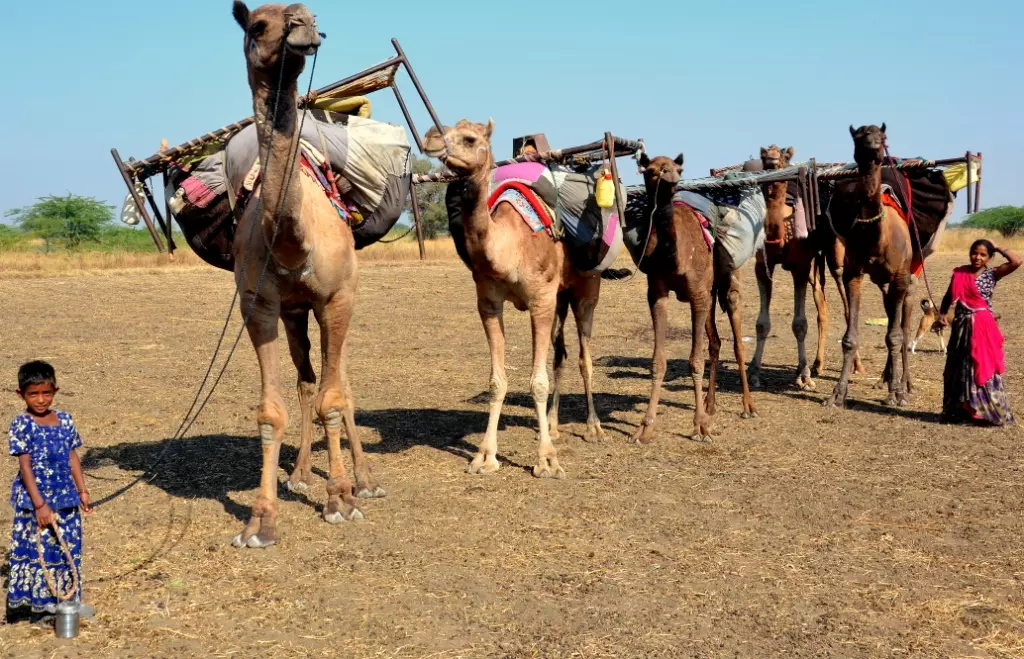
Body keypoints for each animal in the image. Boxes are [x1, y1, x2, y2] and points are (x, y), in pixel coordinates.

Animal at [228, 2, 385, 548]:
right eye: (258, 25)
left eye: (311, 14)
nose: (302, 27)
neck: (293, 240)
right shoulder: (260, 305)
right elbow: (270, 411)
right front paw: (260, 520)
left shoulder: (337, 297)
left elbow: (335, 401)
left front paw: (340, 498)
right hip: (296, 314)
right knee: (306, 380)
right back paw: (298, 473)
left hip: (337, 305)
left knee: (342, 383)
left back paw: (363, 481)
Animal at [419, 119, 610, 478]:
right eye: (445, 129)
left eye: (470, 138)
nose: (431, 139)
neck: (509, 246)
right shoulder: (489, 303)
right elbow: (497, 381)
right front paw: (484, 457)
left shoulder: (540, 300)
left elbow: (537, 382)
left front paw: (547, 461)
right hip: (560, 297)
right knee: (561, 354)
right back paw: (553, 424)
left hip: (586, 289)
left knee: (584, 357)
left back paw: (594, 428)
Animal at [622, 153, 720, 442]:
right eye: (651, 170)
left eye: (679, 169)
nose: (671, 179)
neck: (674, 258)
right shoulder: (657, 292)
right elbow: (658, 361)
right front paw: (645, 427)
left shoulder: (698, 293)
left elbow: (695, 360)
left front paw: (701, 426)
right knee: (715, 340)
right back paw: (711, 404)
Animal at [745, 145, 864, 390]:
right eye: (763, 154)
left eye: (783, 154)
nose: (771, 160)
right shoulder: (762, 267)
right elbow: (762, 324)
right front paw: (754, 372)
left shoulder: (799, 267)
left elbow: (800, 324)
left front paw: (804, 375)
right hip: (814, 267)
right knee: (822, 303)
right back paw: (818, 363)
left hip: (836, 255)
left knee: (846, 303)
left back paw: (856, 365)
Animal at [823, 123, 913, 407]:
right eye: (859, 137)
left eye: (882, 137)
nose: (873, 149)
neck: (877, 236)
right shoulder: (853, 272)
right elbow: (849, 338)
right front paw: (837, 394)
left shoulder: (900, 276)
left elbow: (895, 336)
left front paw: (897, 394)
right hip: (882, 283)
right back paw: (885, 380)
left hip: (908, 279)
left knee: (904, 326)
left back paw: (904, 385)